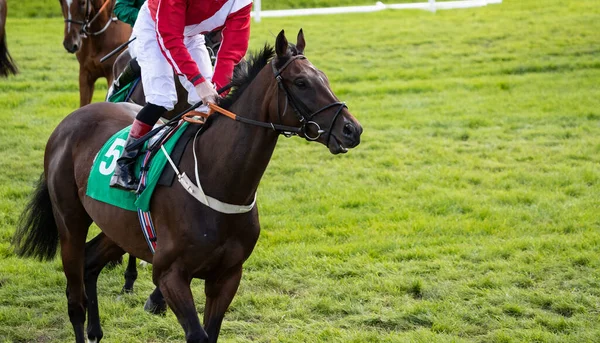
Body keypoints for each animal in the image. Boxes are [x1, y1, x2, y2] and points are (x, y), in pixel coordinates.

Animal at [14, 29, 360, 343]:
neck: (217, 180)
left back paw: (96, 331)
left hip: (120, 227)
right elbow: (196, 334)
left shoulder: (227, 275)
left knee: (90, 262)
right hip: (69, 221)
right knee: (75, 300)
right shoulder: (171, 275)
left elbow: (212, 331)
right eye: (301, 82)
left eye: (324, 78)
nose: (352, 129)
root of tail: (70, 120)